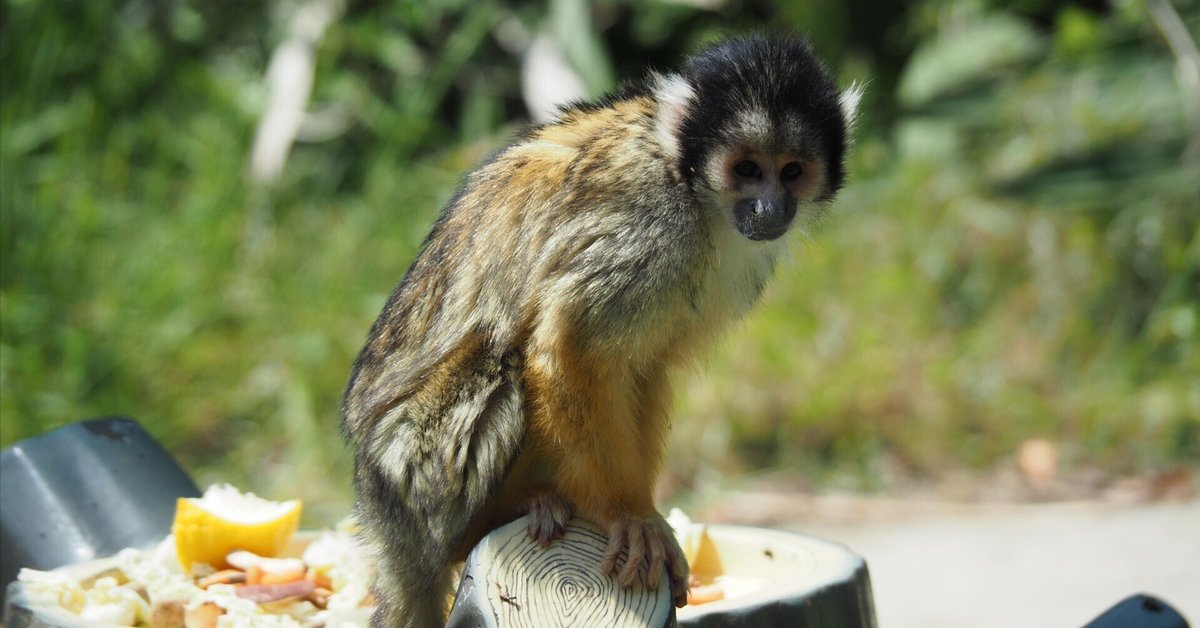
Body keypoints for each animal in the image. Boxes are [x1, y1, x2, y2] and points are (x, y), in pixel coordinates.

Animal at [341, 35, 859, 627]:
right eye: (748, 168)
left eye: (791, 171)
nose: (770, 207)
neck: (690, 185)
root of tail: (381, 519)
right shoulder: (648, 224)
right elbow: (574, 346)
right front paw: (627, 514)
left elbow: (644, 364)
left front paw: (643, 509)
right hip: (416, 473)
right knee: (502, 360)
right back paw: (491, 518)